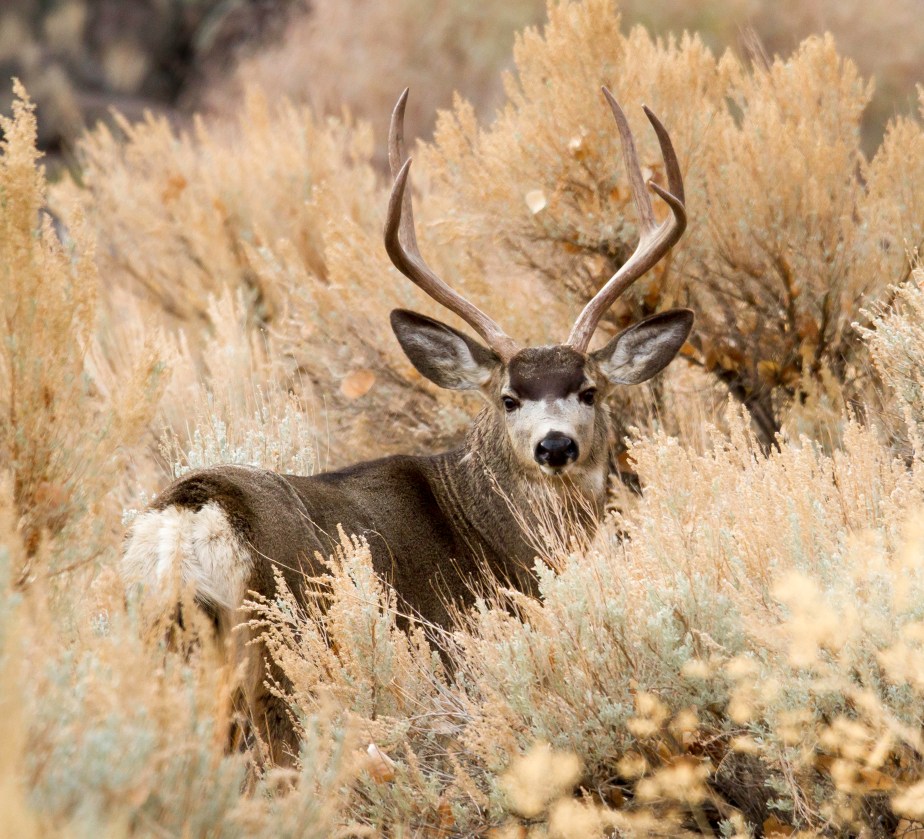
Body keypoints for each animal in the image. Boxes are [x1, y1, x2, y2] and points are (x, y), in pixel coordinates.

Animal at [122, 87, 691, 764]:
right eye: (508, 399)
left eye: (589, 390)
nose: (555, 445)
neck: (498, 532)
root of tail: (190, 515)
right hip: (279, 651)